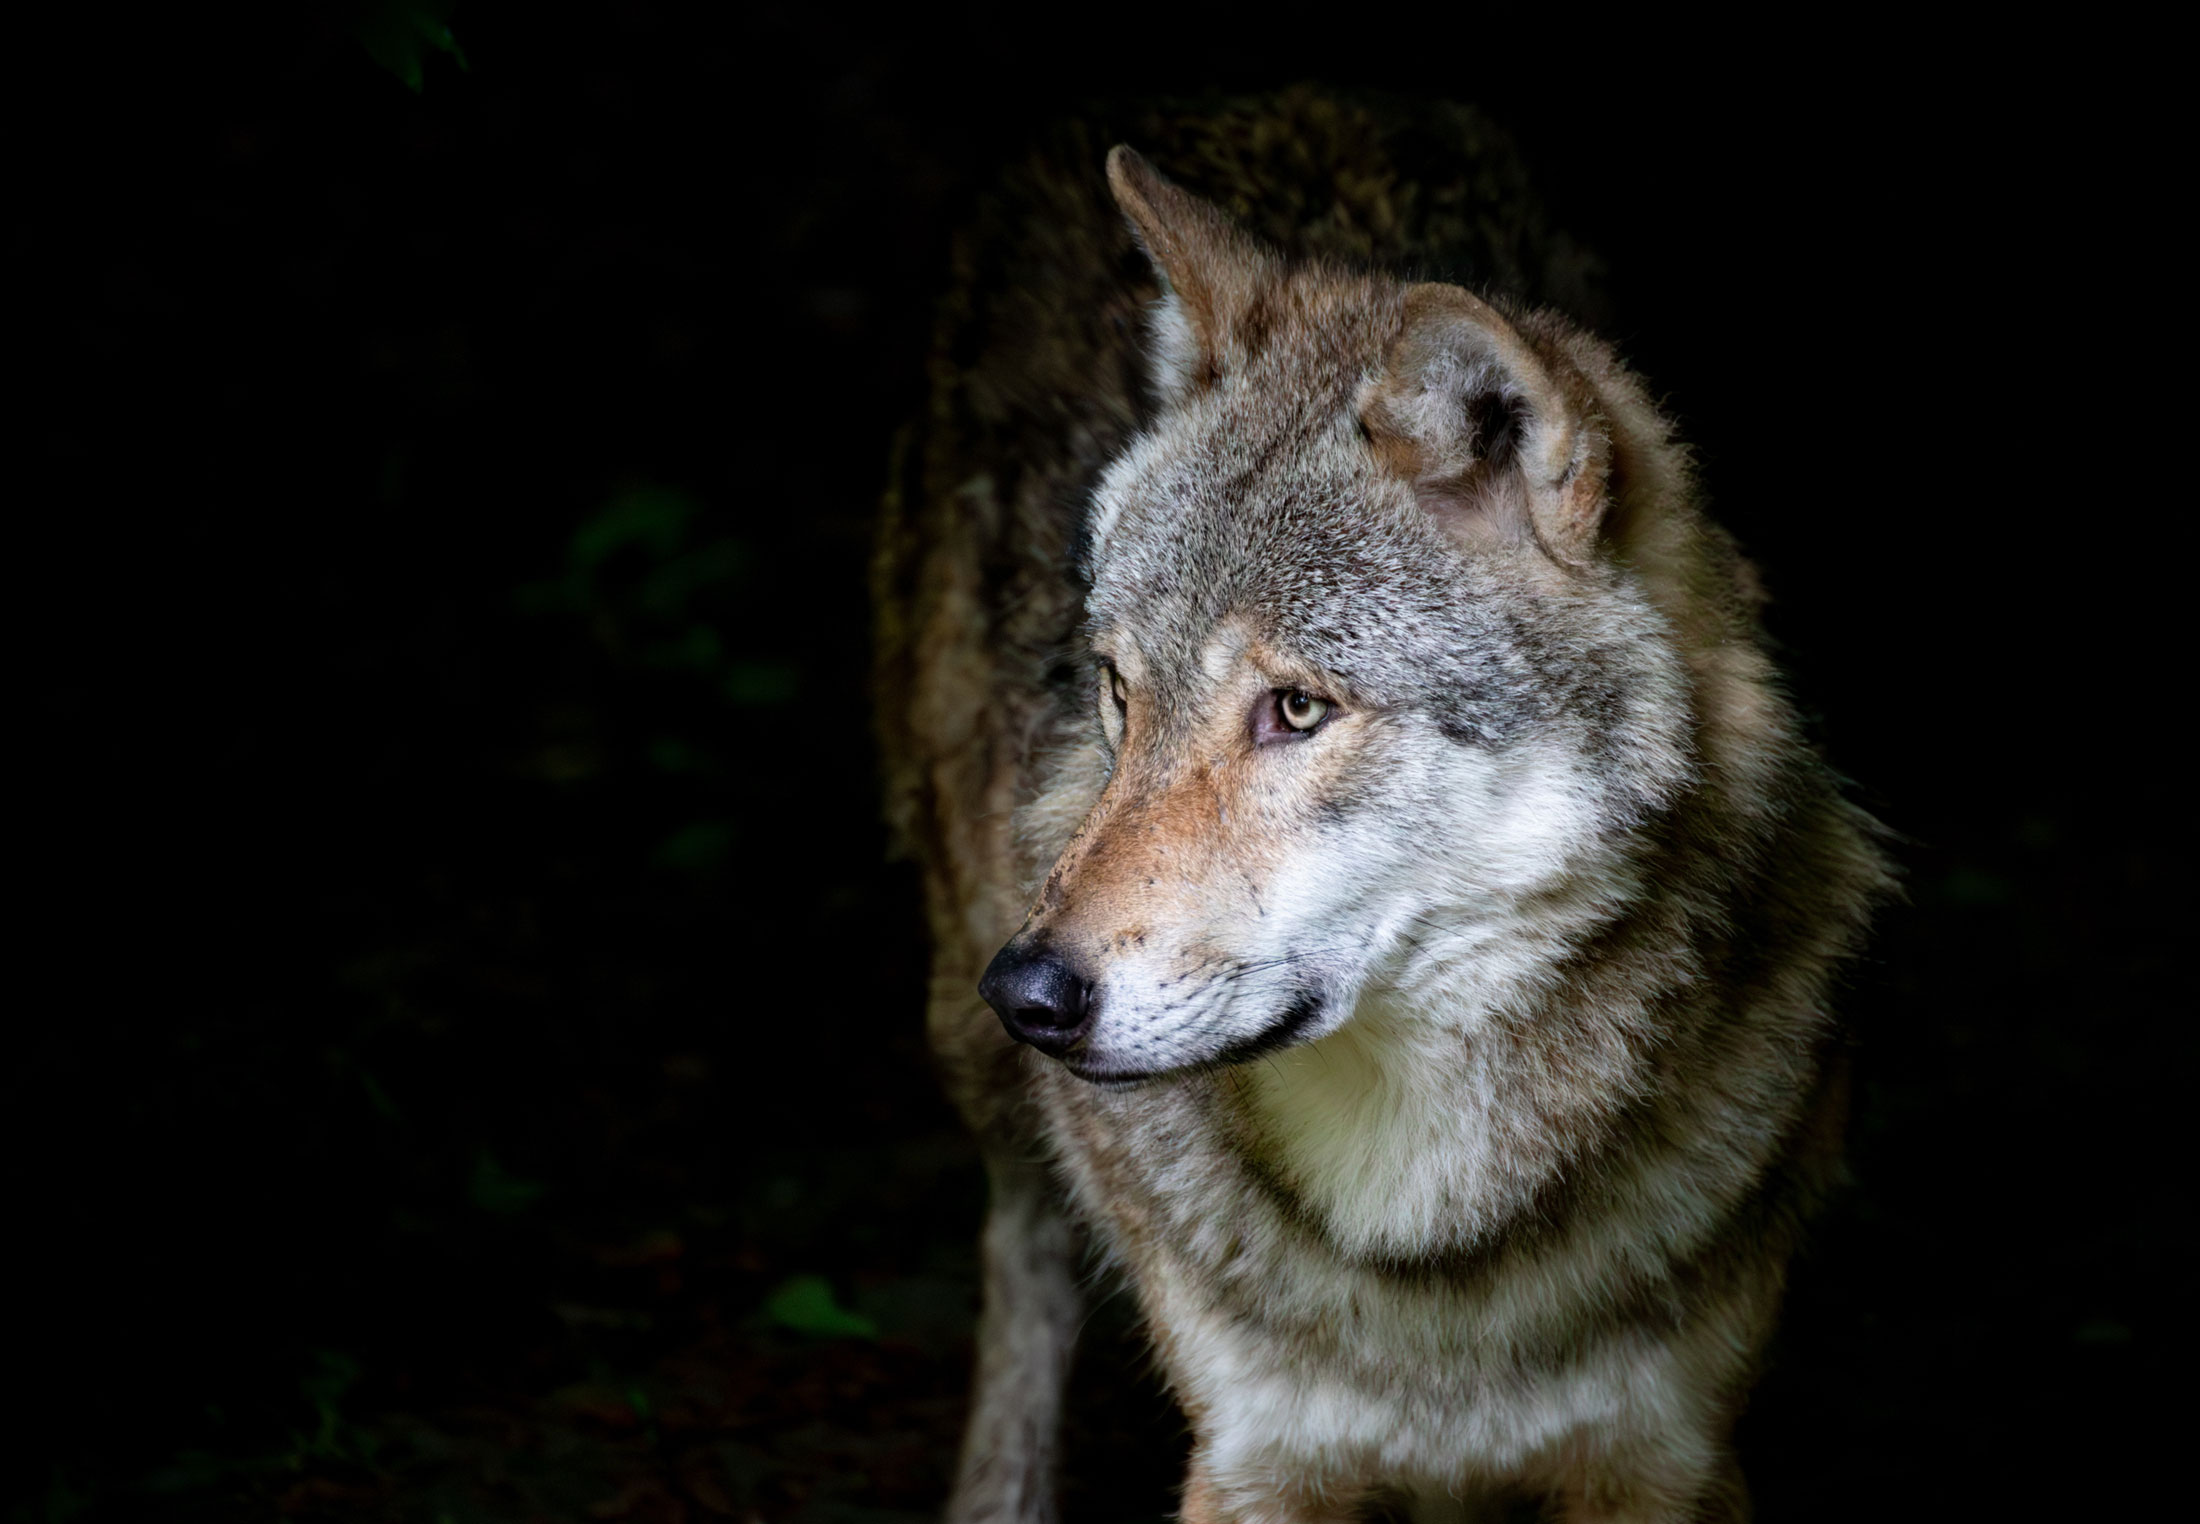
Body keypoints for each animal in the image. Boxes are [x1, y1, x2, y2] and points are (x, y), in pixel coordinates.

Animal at [874, 91, 1888, 1523]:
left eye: (1296, 709)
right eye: (1120, 688)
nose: (1030, 993)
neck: (1423, 1253)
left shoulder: (1667, 1460)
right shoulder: (1254, 1463)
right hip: (964, 1027)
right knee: (1022, 1255)